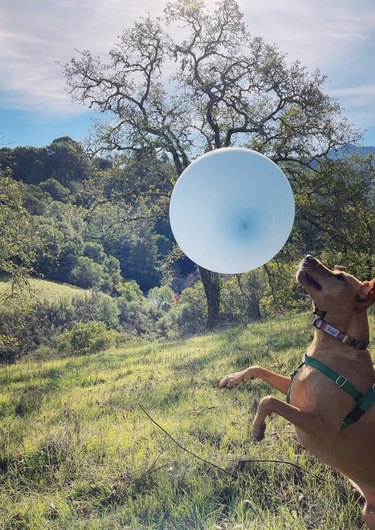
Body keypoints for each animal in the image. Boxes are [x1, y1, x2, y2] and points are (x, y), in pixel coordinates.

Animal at [220, 254, 375, 524]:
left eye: (339, 277)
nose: (309, 256)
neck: (339, 342)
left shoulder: (322, 427)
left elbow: (269, 399)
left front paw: (258, 428)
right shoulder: (294, 389)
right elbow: (259, 368)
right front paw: (234, 378)